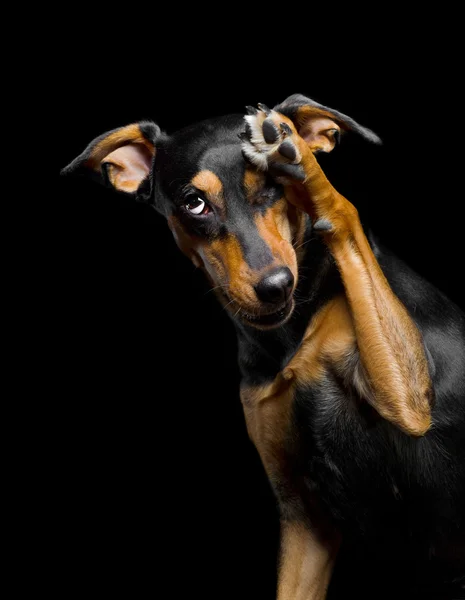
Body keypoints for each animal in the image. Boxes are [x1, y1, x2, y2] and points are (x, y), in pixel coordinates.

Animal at [62, 96, 464, 596]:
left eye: (275, 188)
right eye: (195, 204)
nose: (275, 287)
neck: (290, 338)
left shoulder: (410, 399)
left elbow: (344, 208)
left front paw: (293, 152)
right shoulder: (302, 516)